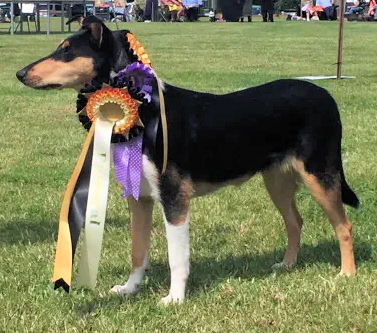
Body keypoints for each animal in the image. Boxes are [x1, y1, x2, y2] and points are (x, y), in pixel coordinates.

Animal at [16, 16, 358, 304]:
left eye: (66, 51)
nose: (19, 74)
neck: (143, 110)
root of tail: (326, 95)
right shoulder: (140, 198)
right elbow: (137, 251)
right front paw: (129, 289)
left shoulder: (174, 199)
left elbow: (176, 257)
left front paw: (175, 299)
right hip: (277, 180)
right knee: (295, 222)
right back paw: (286, 265)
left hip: (320, 175)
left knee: (343, 225)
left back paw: (347, 273)